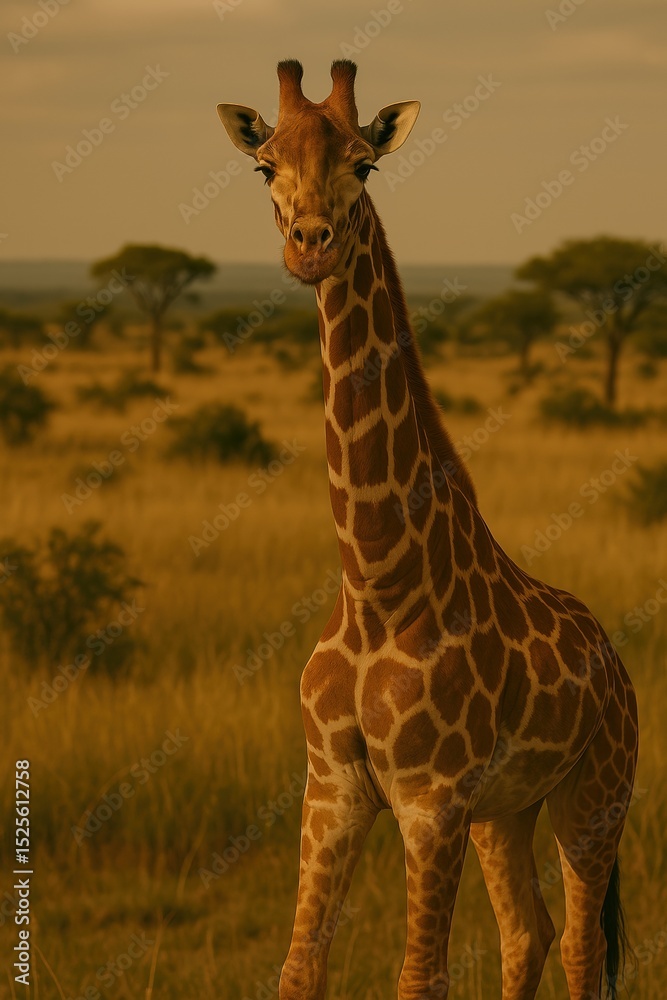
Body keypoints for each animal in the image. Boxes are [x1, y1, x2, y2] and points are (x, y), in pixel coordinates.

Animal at [217, 60, 639, 1000]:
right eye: (263, 166)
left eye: (365, 163)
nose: (312, 244)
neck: (377, 582)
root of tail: (614, 662)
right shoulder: (334, 790)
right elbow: (297, 971)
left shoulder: (430, 800)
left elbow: (421, 979)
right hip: (506, 812)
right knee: (527, 933)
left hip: (595, 796)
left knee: (581, 946)